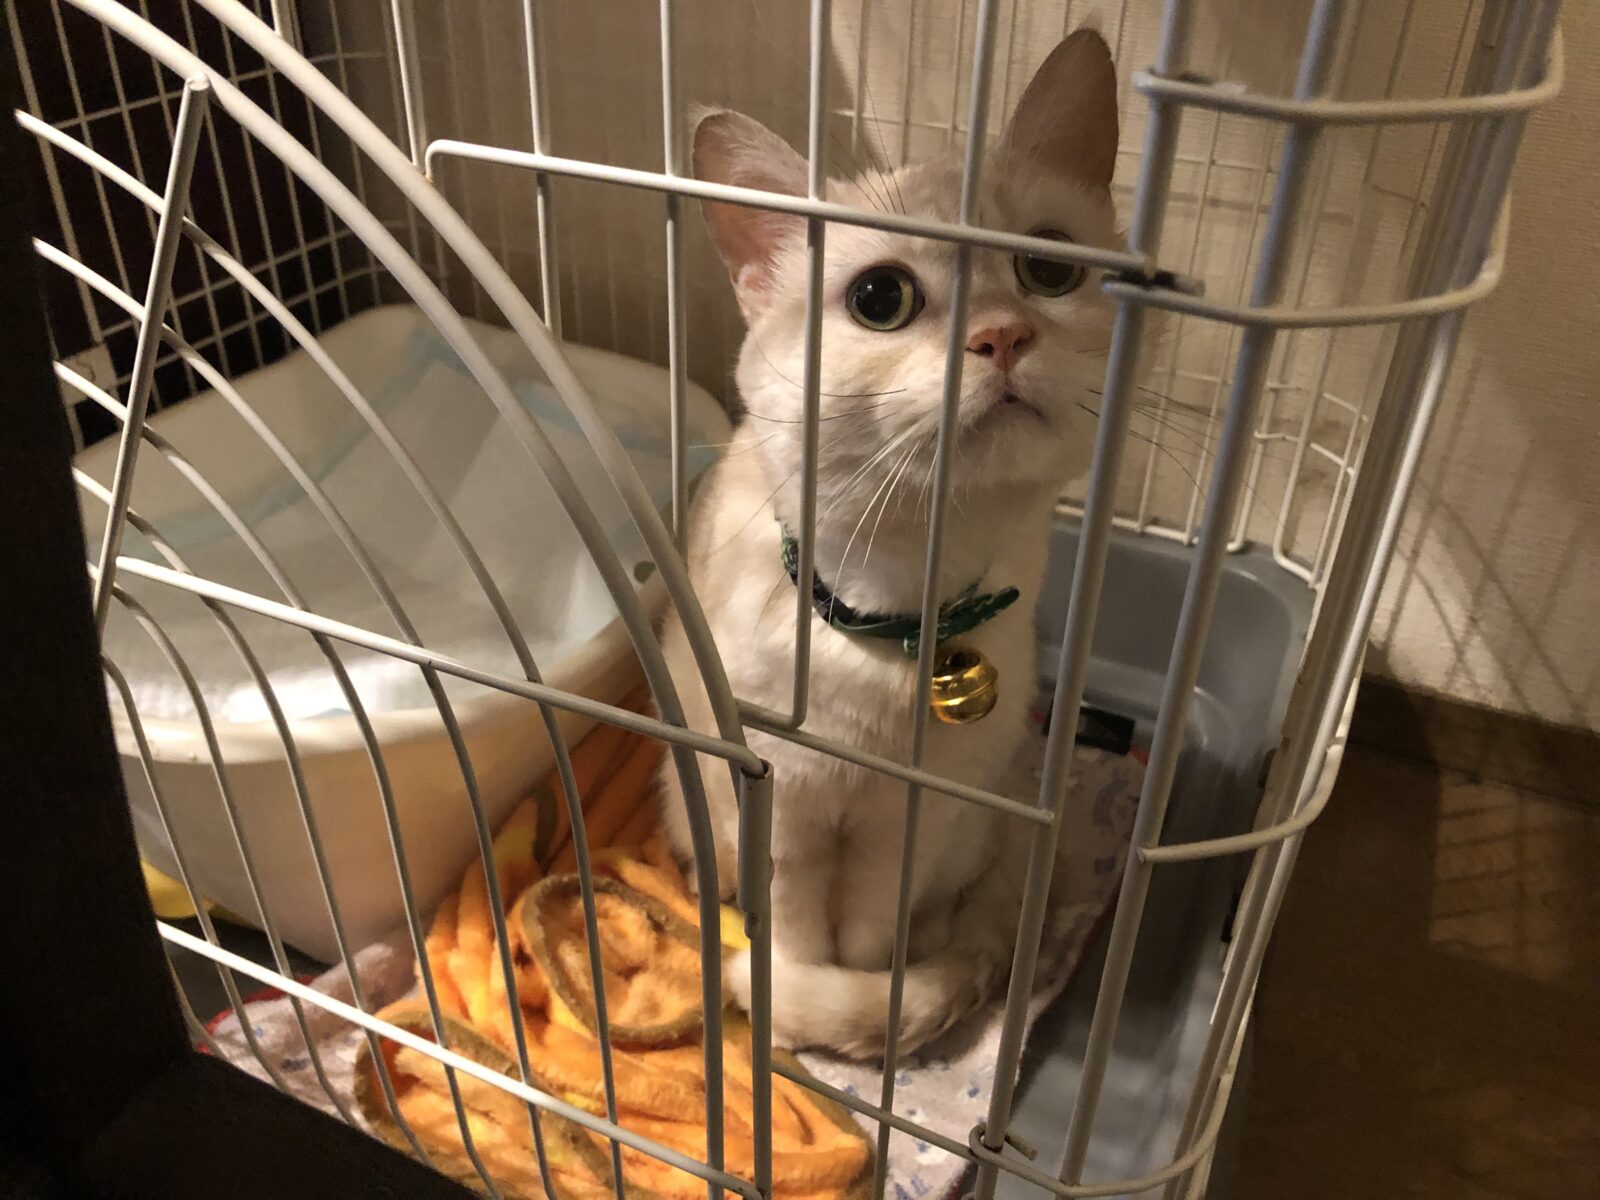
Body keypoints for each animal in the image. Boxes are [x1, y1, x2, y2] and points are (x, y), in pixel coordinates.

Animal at [655, 30, 1121, 1059]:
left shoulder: (907, 827)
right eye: (880, 297)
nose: (1003, 334)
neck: (898, 598)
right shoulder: (778, 805)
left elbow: (865, 945)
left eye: (1050, 271)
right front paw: (784, 1015)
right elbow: (791, 931)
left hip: (978, 818)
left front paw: (842, 1005)